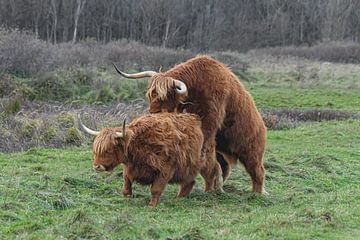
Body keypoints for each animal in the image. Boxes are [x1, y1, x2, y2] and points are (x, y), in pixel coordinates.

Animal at [114, 55, 268, 194]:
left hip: (251, 151)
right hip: (222, 149)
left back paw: (257, 193)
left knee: (257, 171)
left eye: (165, 97)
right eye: (151, 95)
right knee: (222, 167)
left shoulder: (210, 120)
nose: (153, 113)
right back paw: (213, 189)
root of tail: (262, 125)